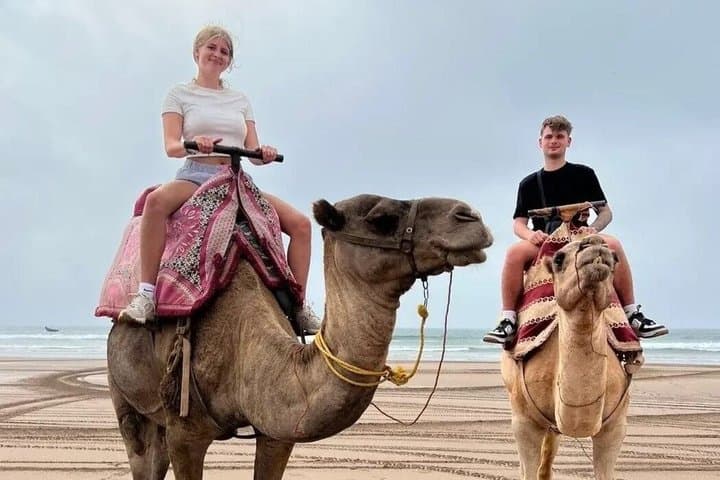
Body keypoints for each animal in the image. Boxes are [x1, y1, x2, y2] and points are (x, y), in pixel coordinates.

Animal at [107, 193, 493, 480]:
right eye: (381, 219)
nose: (470, 216)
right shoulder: (185, 434)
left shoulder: (277, 431)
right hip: (125, 399)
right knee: (141, 454)